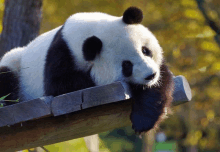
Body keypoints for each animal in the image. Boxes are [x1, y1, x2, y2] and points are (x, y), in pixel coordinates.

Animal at [0, 7, 174, 133]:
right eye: (126, 65)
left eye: (145, 50)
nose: (150, 75)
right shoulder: (60, 56)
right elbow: (60, 86)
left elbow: (161, 81)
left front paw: (143, 121)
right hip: (16, 63)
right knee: (6, 78)